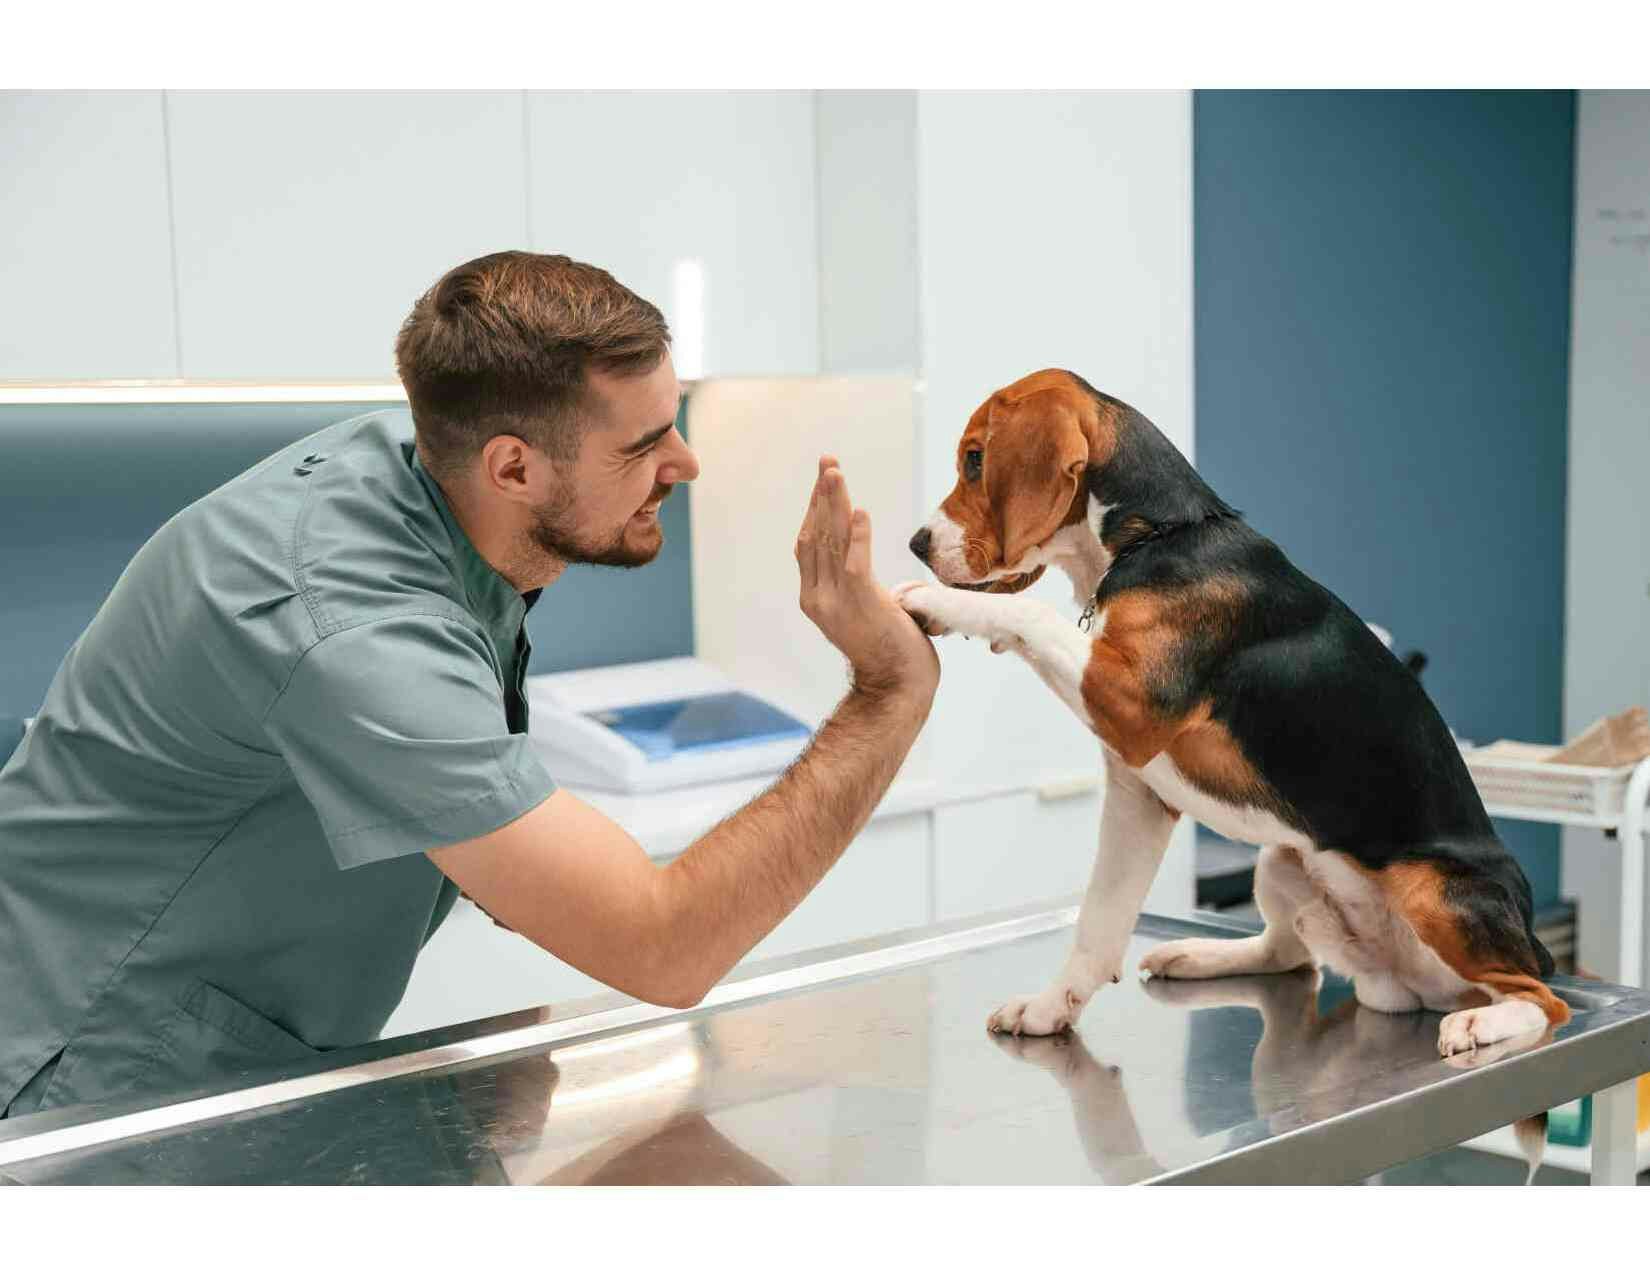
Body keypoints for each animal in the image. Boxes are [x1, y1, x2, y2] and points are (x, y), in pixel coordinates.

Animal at [897, 367, 1564, 1062]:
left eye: (975, 460)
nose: (917, 545)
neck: (1160, 534)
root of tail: (1405, 983)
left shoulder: (1128, 702)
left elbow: (1029, 613)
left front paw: (940, 603)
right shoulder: (1138, 792)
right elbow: (1099, 922)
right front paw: (1051, 1008)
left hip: (1432, 890)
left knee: (1543, 999)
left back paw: (1484, 1022)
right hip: (1282, 859)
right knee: (1291, 956)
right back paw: (1197, 954)